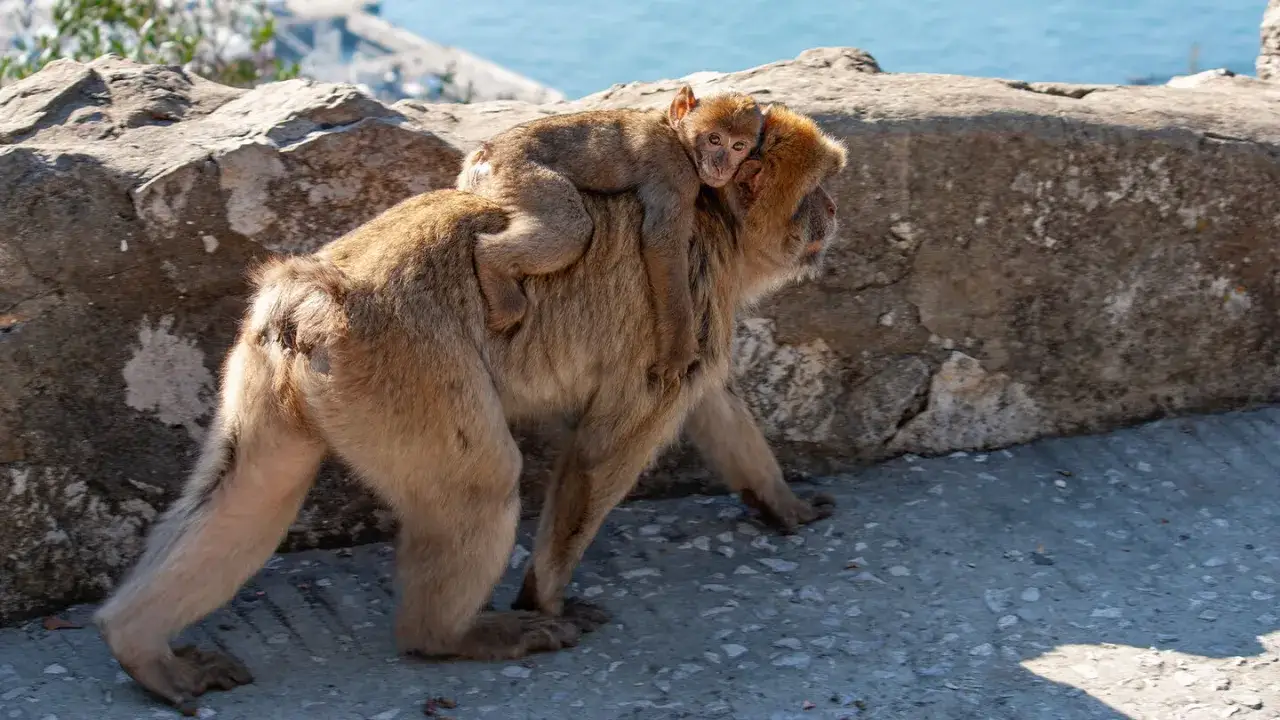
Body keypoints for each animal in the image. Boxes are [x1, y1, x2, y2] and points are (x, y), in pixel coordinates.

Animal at [456, 85, 764, 384]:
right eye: (714, 139)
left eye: (738, 146)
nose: (722, 165)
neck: (676, 135)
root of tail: (483, 154)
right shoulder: (676, 173)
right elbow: (662, 245)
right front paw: (679, 353)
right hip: (520, 175)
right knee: (571, 229)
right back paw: (492, 266)